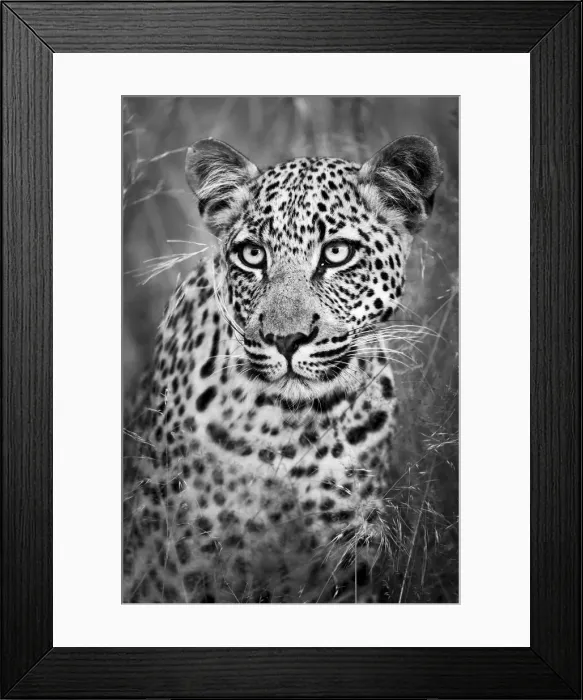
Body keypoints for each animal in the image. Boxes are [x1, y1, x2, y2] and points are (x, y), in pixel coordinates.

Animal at [123, 134, 442, 603]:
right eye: (253, 254)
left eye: (337, 253)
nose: (286, 339)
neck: (292, 430)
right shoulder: (178, 569)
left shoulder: (350, 559)